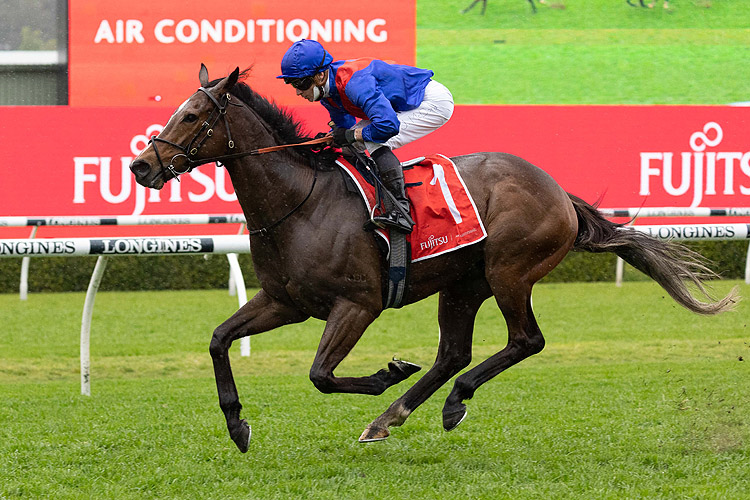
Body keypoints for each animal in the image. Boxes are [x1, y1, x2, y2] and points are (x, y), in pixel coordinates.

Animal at [131, 66, 740, 454]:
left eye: (193, 116)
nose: (141, 166)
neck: (300, 202)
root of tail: (559, 191)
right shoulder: (284, 300)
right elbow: (218, 340)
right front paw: (238, 426)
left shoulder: (358, 303)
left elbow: (321, 374)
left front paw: (385, 372)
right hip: (463, 282)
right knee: (453, 352)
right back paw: (390, 419)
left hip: (508, 270)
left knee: (526, 340)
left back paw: (446, 403)